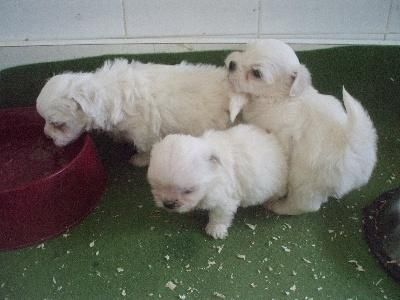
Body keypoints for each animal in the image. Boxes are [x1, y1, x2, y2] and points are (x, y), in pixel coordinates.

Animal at [37, 58, 233, 166]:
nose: (46, 135)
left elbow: (146, 148)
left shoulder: (144, 132)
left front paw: (139, 160)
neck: (109, 93)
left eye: (57, 124)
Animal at [147, 124, 288, 239]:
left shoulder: (225, 199)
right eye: (156, 186)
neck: (212, 178)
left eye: (188, 191)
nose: (168, 204)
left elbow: (219, 215)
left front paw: (216, 229)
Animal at [227, 39, 376, 216]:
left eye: (256, 73)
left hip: (304, 180)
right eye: (245, 50)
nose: (231, 64)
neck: (280, 97)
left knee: (304, 205)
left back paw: (278, 206)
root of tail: (356, 151)